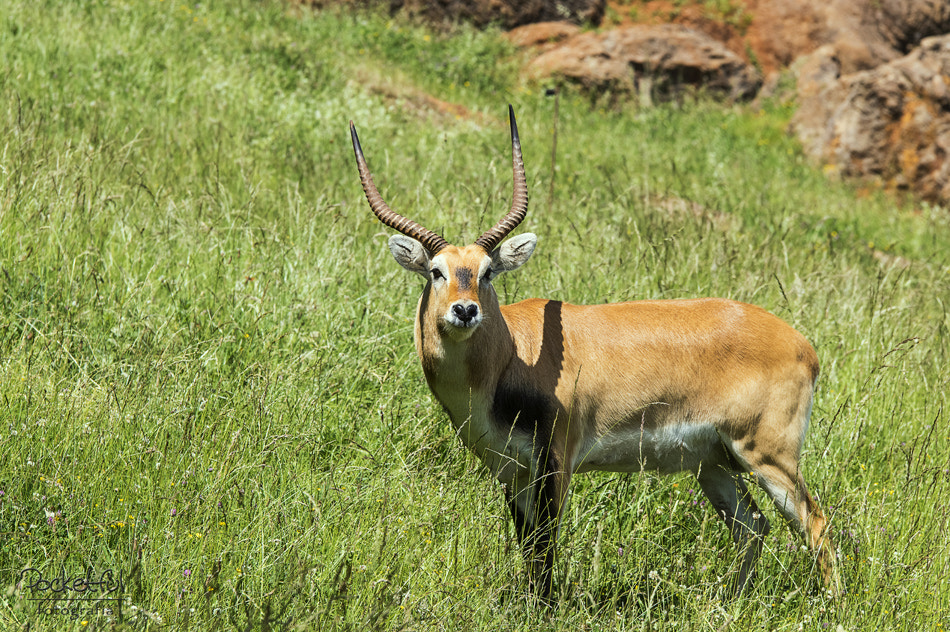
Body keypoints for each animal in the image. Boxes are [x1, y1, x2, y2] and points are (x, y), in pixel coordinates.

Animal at [350, 106, 840, 600]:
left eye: (487, 271)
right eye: (436, 271)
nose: (465, 310)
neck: (510, 358)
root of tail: (802, 345)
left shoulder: (556, 464)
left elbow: (545, 547)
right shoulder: (511, 471)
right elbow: (528, 547)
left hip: (768, 456)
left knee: (816, 523)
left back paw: (830, 605)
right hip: (713, 464)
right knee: (753, 526)